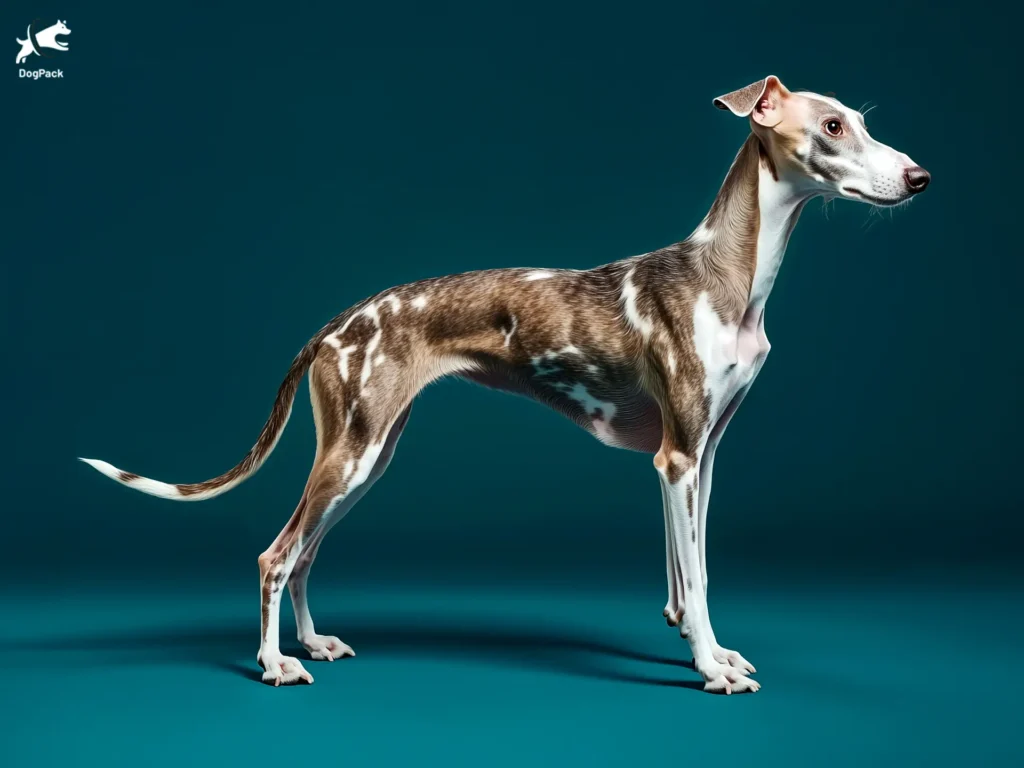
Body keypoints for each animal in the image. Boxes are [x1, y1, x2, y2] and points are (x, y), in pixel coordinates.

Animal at [81, 78, 929, 696]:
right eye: (832, 128)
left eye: (859, 121)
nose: (920, 177)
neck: (729, 277)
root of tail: (332, 326)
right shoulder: (677, 460)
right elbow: (695, 579)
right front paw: (710, 668)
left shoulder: (702, 457)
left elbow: (693, 577)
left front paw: (705, 649)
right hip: (351, 456)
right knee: (276, 554)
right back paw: (272, 664)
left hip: (369, 457)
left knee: (306, 556)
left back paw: (313, 642)